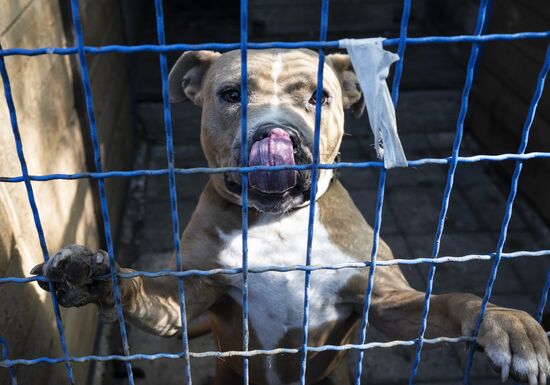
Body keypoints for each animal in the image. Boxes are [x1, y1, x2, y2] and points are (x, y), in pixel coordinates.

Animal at [31, 49, 550, 382]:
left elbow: (448, 301)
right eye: (231, 94)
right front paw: (94, 274)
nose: (277, 133)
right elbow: (137, 288)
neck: (278, 223)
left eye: (320, 97)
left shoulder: (386, 300)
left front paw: (503, 321)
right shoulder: (184, 297)